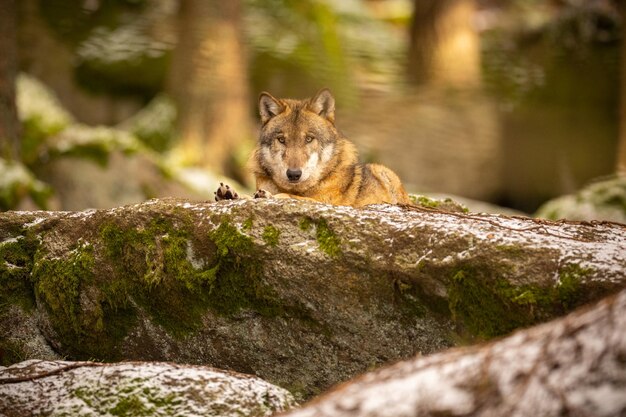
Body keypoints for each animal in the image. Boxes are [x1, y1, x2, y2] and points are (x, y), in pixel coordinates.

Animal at [214, 89, 410, 208]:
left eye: (309, 139)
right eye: (281, 140)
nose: (294, 174)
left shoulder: (331, 203)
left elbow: (297, 198)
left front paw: (271, 197)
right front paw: (230, 195)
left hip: (384, 172)